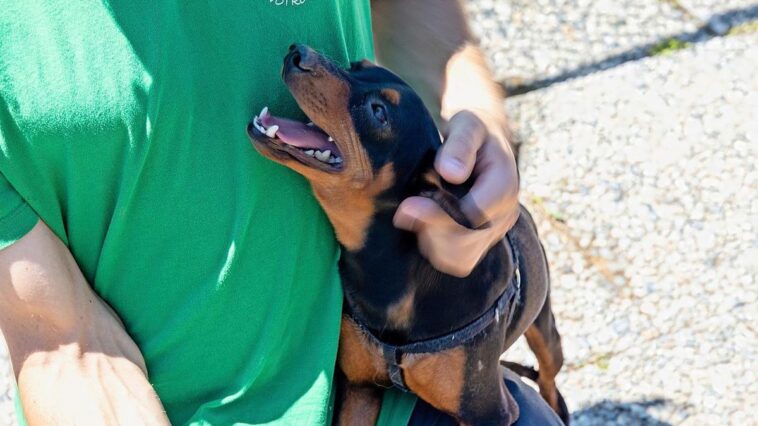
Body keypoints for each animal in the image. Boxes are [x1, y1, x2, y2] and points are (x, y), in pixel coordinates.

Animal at [249, 44, 568, 426]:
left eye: (378, 113)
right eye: (356, 66)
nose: (298, 52)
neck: (384, 266)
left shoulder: (489, 412)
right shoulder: (358, 388)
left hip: (544, 327)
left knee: (548, 372)